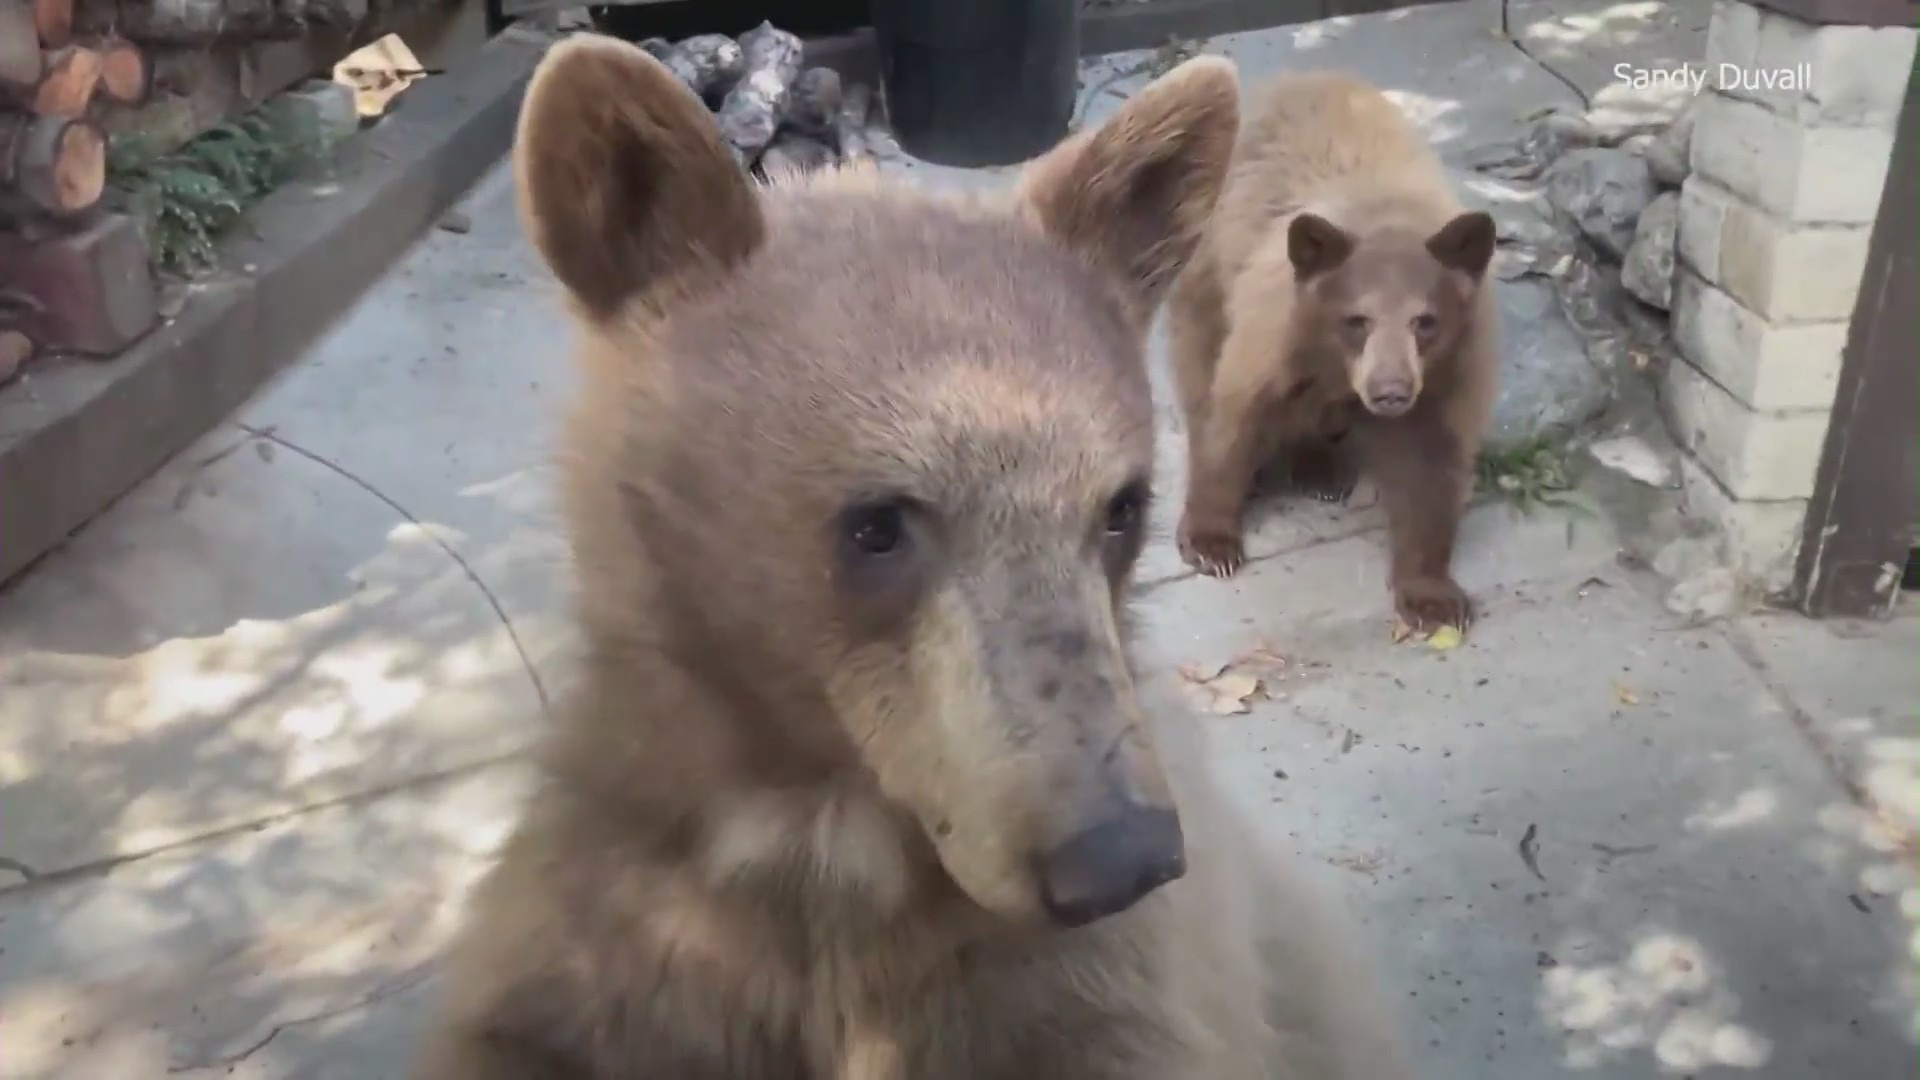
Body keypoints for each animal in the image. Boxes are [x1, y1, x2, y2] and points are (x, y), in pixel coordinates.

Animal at [412, 35, 1420, 1076]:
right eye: (877, 522)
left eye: (1121, 508)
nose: (1118, 858)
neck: (828, 834)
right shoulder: (626, 920)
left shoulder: (1114, 985)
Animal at [1167, 69, 1497, 630]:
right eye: (1356, 319)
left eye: (1425, 321)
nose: (1390, 391)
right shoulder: (1274, 336)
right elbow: (1231, 418)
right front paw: (1211, 542)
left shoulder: (1449, 375)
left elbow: (1432, 469)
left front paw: (1433, 597)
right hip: (1207, 273)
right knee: (1200, 362)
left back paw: (1323, 468)